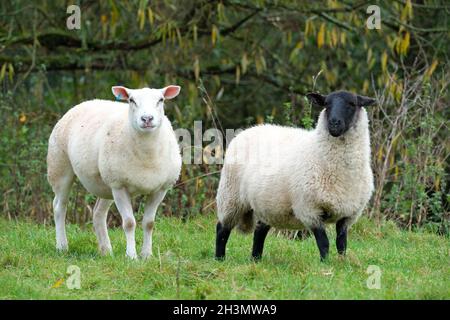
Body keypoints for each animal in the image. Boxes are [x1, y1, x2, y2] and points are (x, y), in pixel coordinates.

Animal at [48, 85, 182, 260]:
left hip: (105, 184)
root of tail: (86, 102)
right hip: (60, 167)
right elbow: (129, 223)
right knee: (59, 206)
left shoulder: (160, 189)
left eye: (161, 100)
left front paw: (146, 255)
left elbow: (149, 223)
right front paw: (131, 256)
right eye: (131, 100)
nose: (147, 119)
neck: (147, 155)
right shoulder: (119, 186)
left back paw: (106, 251)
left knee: (98, 213)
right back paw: (62, 246)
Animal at [214, 89, 376, 260]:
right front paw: (326, 263)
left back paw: (255, 259)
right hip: (230, 196)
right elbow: (324, 243)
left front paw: (341, 261)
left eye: (352, 104)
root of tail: (246, 131)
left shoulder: (349, 214)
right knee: (222, 228)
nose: (334, 123)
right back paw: (220, 258)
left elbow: (342, 243)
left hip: (268, 204)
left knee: (259, 231)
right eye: (326, 104)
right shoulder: (310, 209)